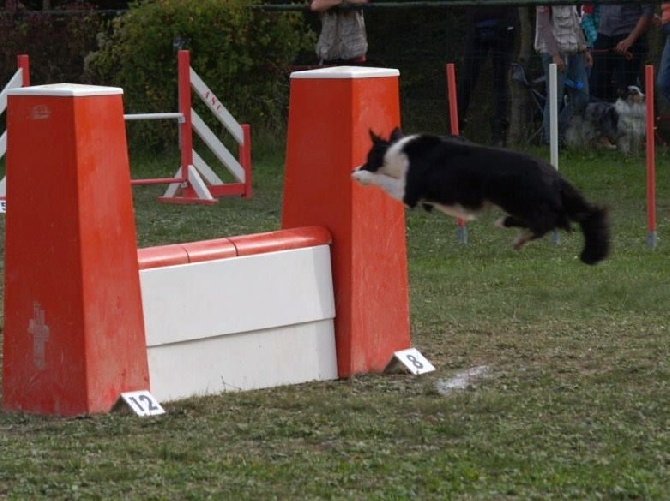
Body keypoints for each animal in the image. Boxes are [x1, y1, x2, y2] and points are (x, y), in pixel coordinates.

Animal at [354, 127, 612, 264]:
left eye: (368, 156)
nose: (357, 166)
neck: (396, 151)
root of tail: (555, 175)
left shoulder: (409, 191)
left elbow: (383, 179)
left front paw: (361, 176)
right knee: (557, 221)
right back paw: (515, 231)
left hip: (515, 198)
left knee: (552, 221)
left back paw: (512, 230)